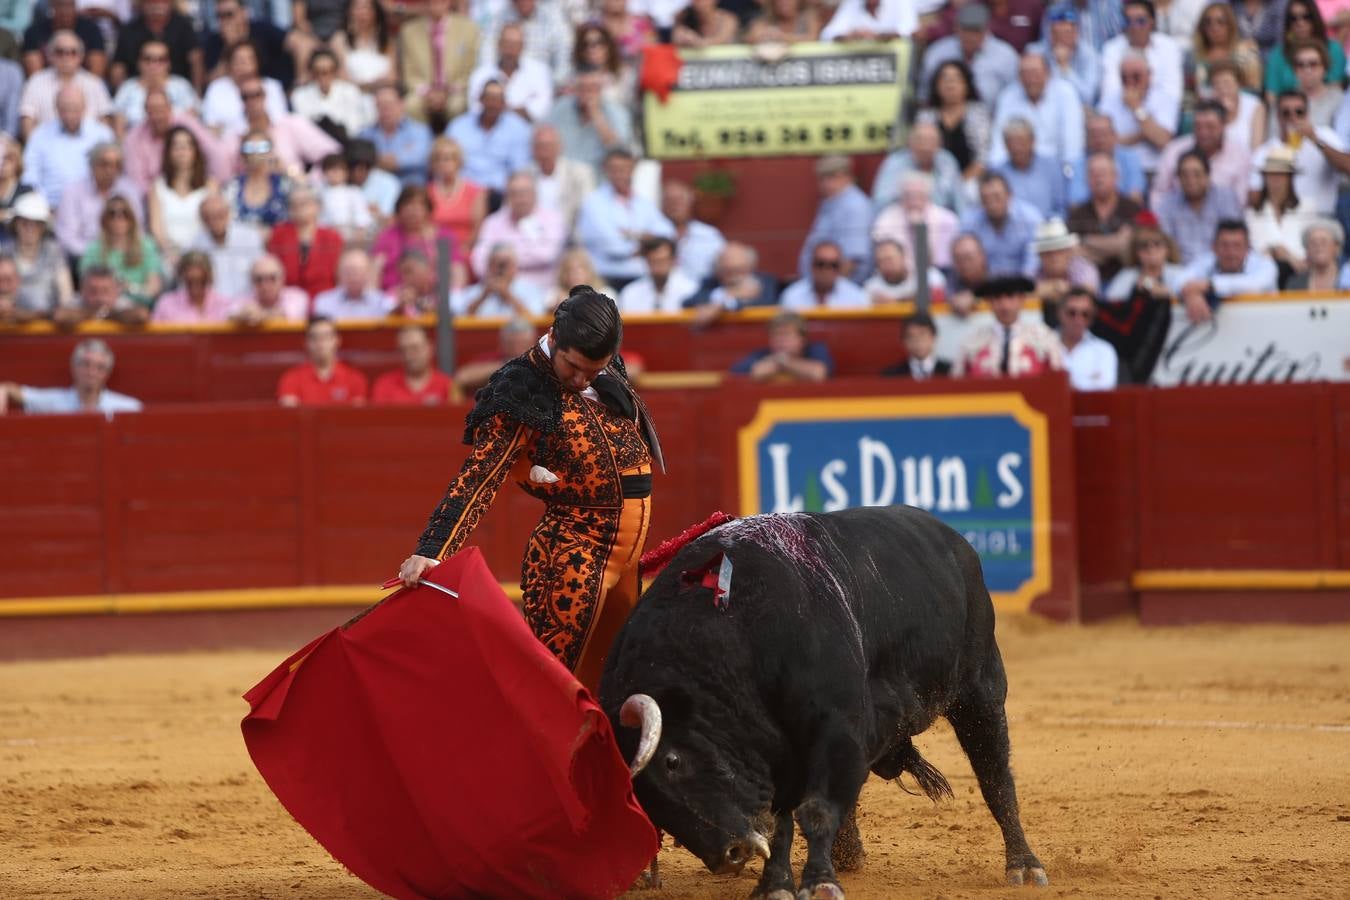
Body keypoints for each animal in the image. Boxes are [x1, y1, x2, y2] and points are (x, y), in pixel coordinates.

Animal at [596, 510, 1047, 895]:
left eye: (673, 761)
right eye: (644, 802)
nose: (729, 856)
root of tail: (955, 541)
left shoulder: (836, 729)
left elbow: (816, 811)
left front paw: (820, 884)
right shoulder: (778, 748)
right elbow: (780, 825)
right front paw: (776, 885)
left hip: (980, 692)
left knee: (995, 778)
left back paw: (1024, 866)